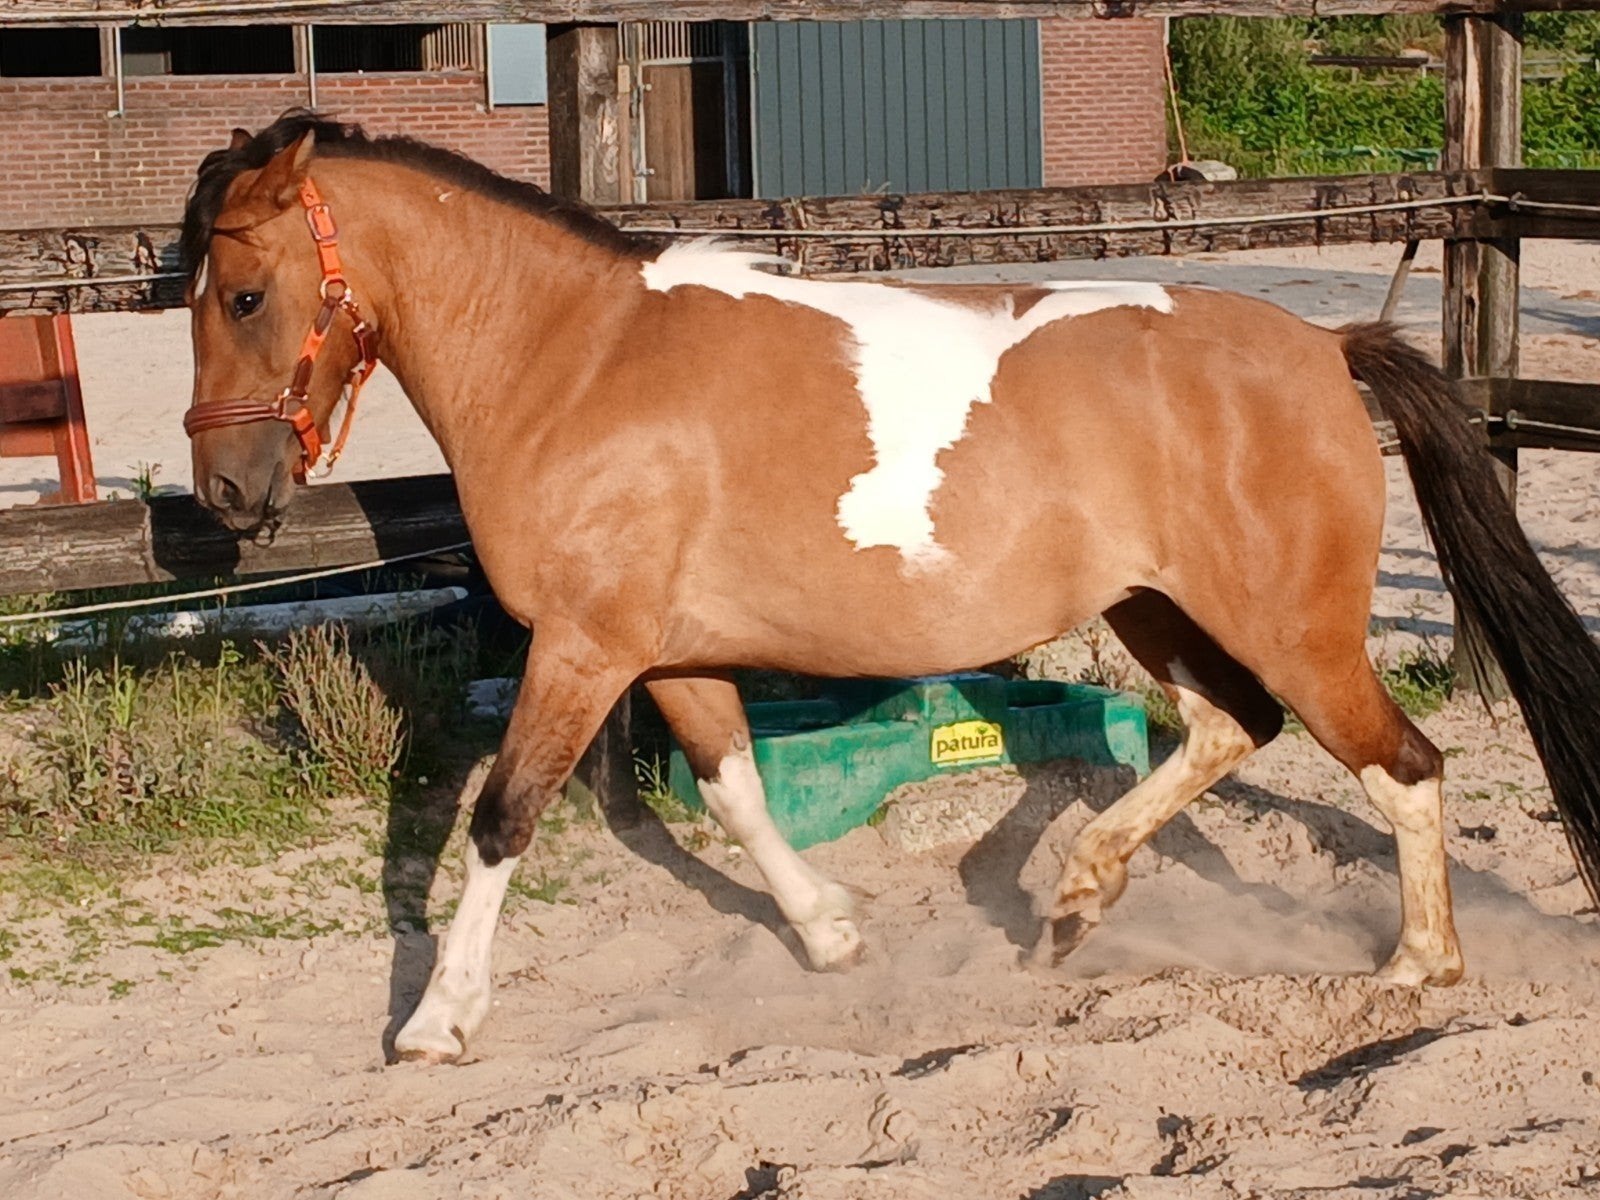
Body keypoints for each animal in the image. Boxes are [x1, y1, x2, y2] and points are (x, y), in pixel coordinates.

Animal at [181, 113, 1600, 1064]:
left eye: (245, 294)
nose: (227, 494)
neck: (575, 365)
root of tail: (1325, 347)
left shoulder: (583, 648)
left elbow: (501, 818)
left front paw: (435, 1019)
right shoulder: (669, 654)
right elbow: (736, 793)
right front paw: (830, 937)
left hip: (1294, 628)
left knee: (1401, 766)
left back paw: (1416, 967)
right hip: (1156, 607)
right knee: (1226, 730)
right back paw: (1075, 901)